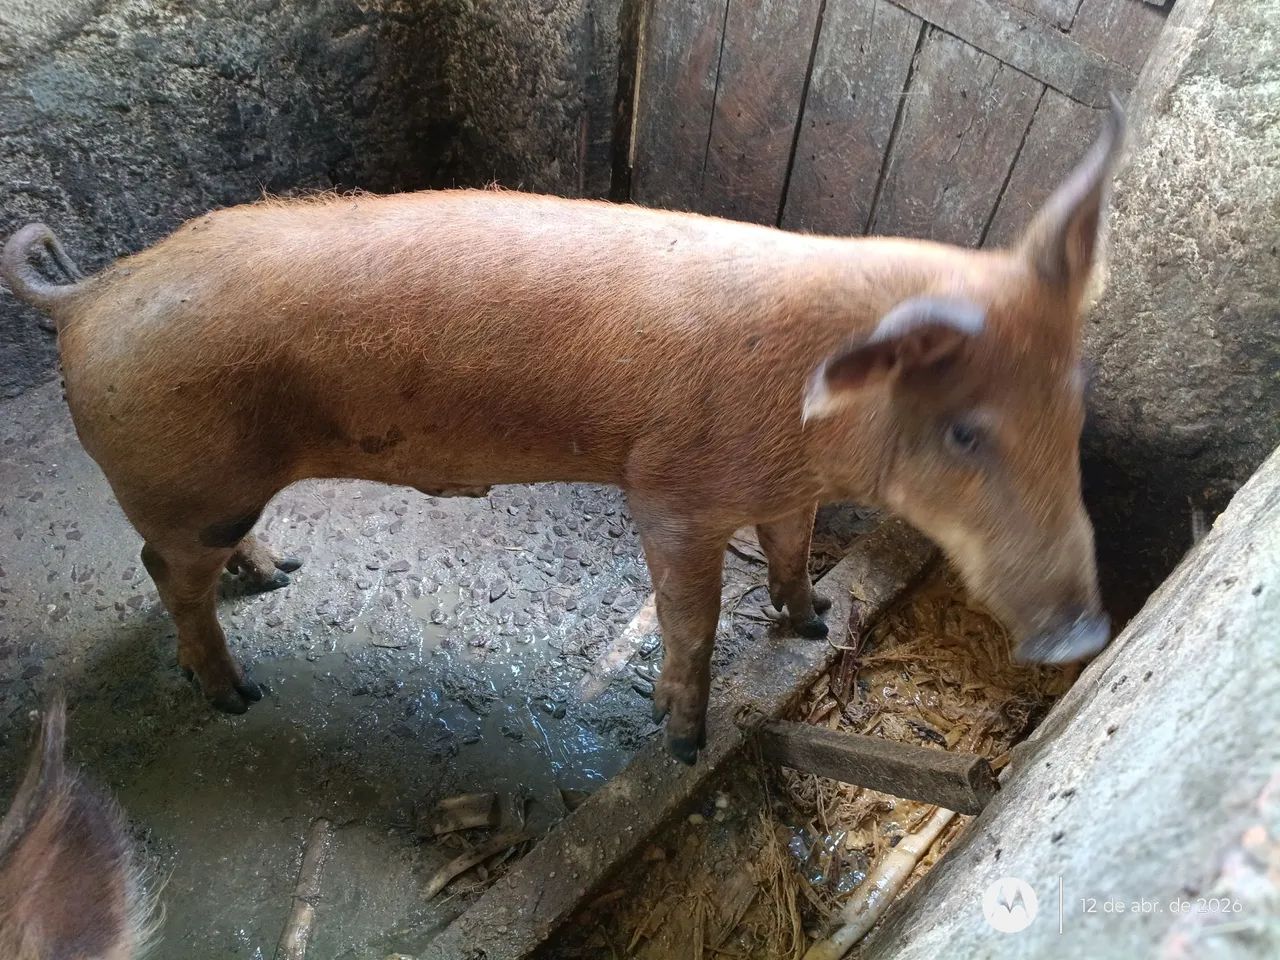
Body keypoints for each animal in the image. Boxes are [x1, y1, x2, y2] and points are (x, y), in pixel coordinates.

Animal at [1, 101, 1124, 765]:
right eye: (966, 434)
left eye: (1073, 397)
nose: (1084, 634)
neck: (812, 420)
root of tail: (89, 297)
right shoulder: (671, 495)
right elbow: (689, 620)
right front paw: (682, 742)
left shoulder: (785, 488)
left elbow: (793, 550)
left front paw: (807, 625)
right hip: (183, 481)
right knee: (162, 571)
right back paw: (239, 693)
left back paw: (279, 576)